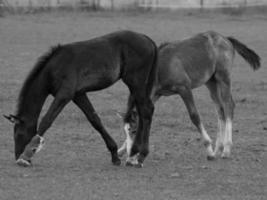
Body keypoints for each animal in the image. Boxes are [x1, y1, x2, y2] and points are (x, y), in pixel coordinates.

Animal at [4, 30, 158, 167]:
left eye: (18, 134)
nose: (17, 156)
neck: (54, 68)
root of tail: (147, 39)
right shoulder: (78, 95)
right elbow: (95, 120)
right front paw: (114, 155)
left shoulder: (64, 95)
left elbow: (46, 121)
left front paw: (26, 156)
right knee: (143, 112)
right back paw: (133, 156)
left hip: (135, 82)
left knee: (146, 110)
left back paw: (140, 156)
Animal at [120, 31, 262, 162]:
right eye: (126, 131)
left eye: (134, 131)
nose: (131, 153)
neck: (160, 66)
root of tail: (226, 39)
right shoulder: (155, 94)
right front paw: (122, 151)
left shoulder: (184, 89)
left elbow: (194, 116)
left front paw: (209, 150)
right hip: (211, 82)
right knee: (220, 109)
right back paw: (218, 149)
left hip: (223, 78)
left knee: (228, 106)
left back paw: (226, 150)